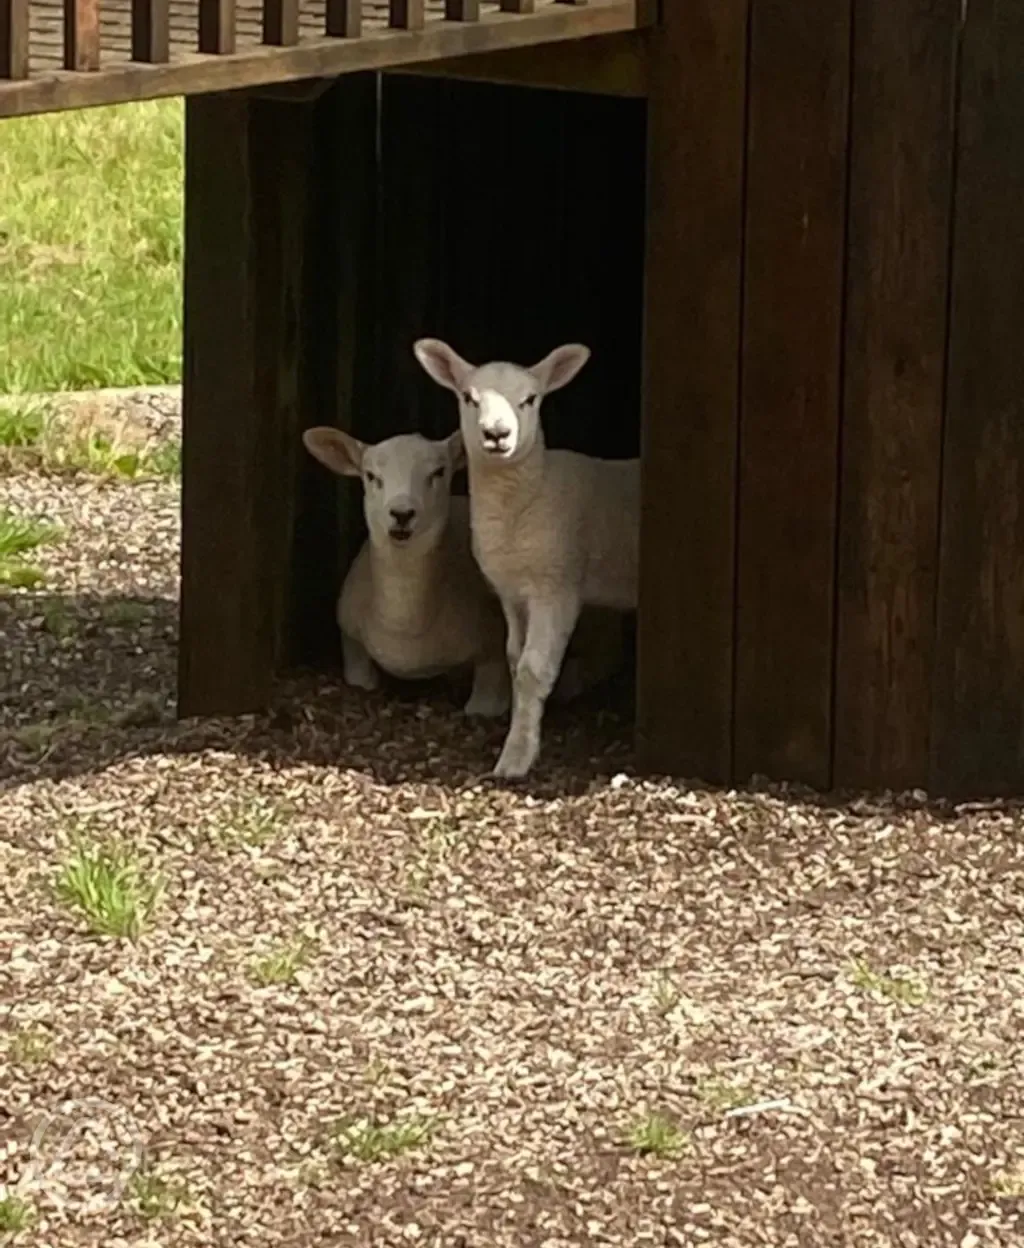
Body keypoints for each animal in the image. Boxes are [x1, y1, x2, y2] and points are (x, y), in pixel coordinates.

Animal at [301, 426, 511, 718]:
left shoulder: (493, 654)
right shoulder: (351, 642)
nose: (402, 514)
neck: (405, 627)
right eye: (371, 476)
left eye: (439, 472)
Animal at [413, 338, 640, 779]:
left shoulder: (557, 585)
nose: (497, 434)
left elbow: (533, 670)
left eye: (530, 399)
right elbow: (514, 660)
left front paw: (516, 758)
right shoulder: (511, 591)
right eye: (469, 397)